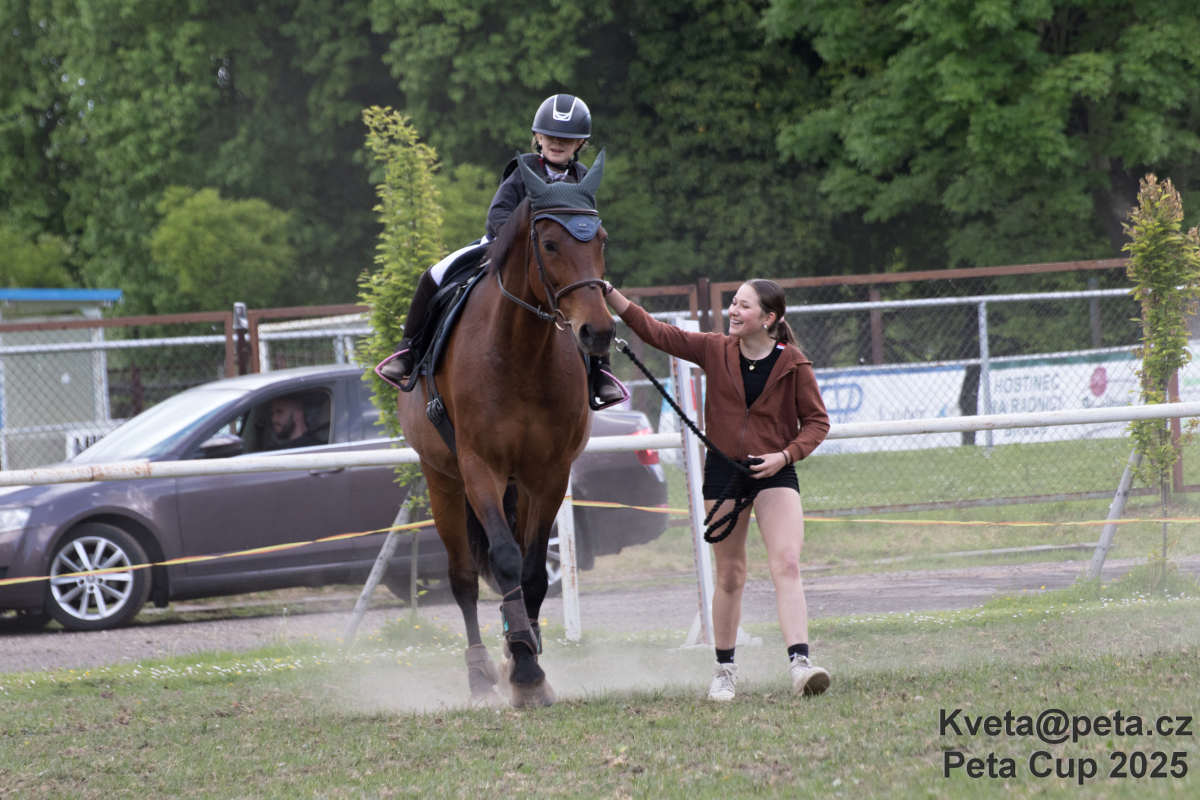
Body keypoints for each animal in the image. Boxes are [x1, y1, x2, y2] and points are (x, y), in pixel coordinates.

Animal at [396, 152, 613, 707]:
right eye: (550, 243)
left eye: (601, 241)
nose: (598, 332)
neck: (521, 354)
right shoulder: (480, 469)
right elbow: (505, 562)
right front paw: (524, 670)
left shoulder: (549, 474)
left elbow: (533, 573)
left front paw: (527, 661)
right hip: (443, 480)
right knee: (464, 578)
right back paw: (479, 674)